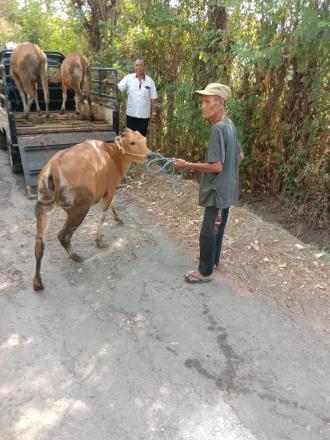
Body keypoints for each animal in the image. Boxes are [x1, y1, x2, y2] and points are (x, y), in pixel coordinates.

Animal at [32, 129, 154, 290]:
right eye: (132, 142)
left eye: (145, 140)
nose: (150, 155)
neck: (114, 157)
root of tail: (54, 167)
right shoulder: (110, 188)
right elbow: (102, 215)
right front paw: (99, 241)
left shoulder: (108, 190)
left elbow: (112, 204)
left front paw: (118, 218)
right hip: (79, 209)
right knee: (62, 235)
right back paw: (75, 256)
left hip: (44, 206)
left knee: (39, 243)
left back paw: (38, 282)